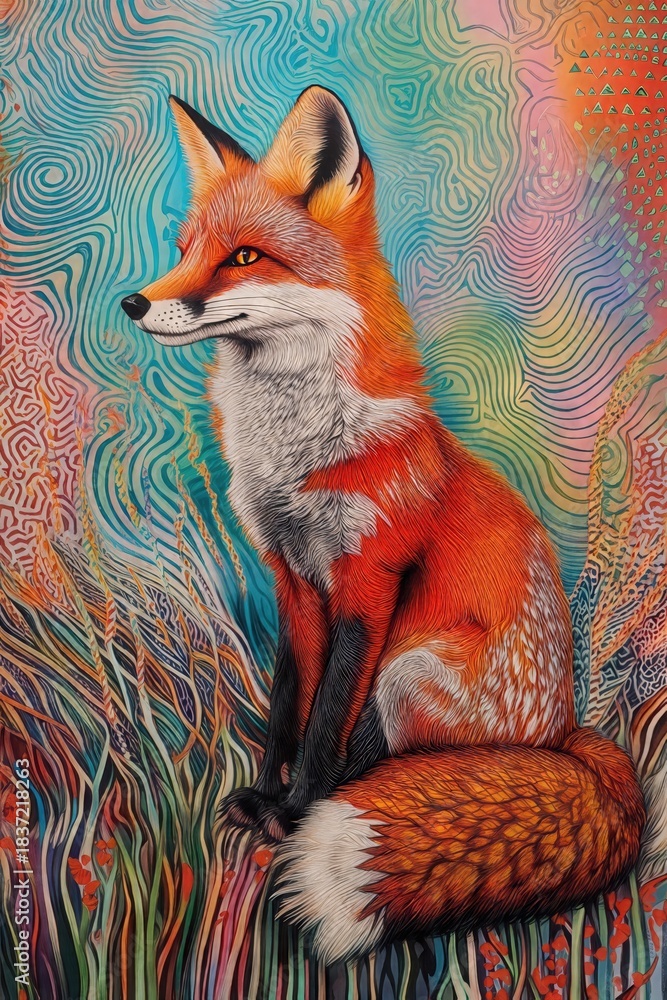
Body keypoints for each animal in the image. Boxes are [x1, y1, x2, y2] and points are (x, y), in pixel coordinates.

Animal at [121, 86, 645, 965]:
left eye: (244, 257)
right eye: (187, 250)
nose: (134, 302)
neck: (297, 453)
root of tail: (568, 735)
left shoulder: (369, 579)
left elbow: (327, 718)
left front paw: (294, 814)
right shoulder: (291, 578)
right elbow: (286, 706)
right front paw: (265, 793)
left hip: (409, 667)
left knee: (383, 746)